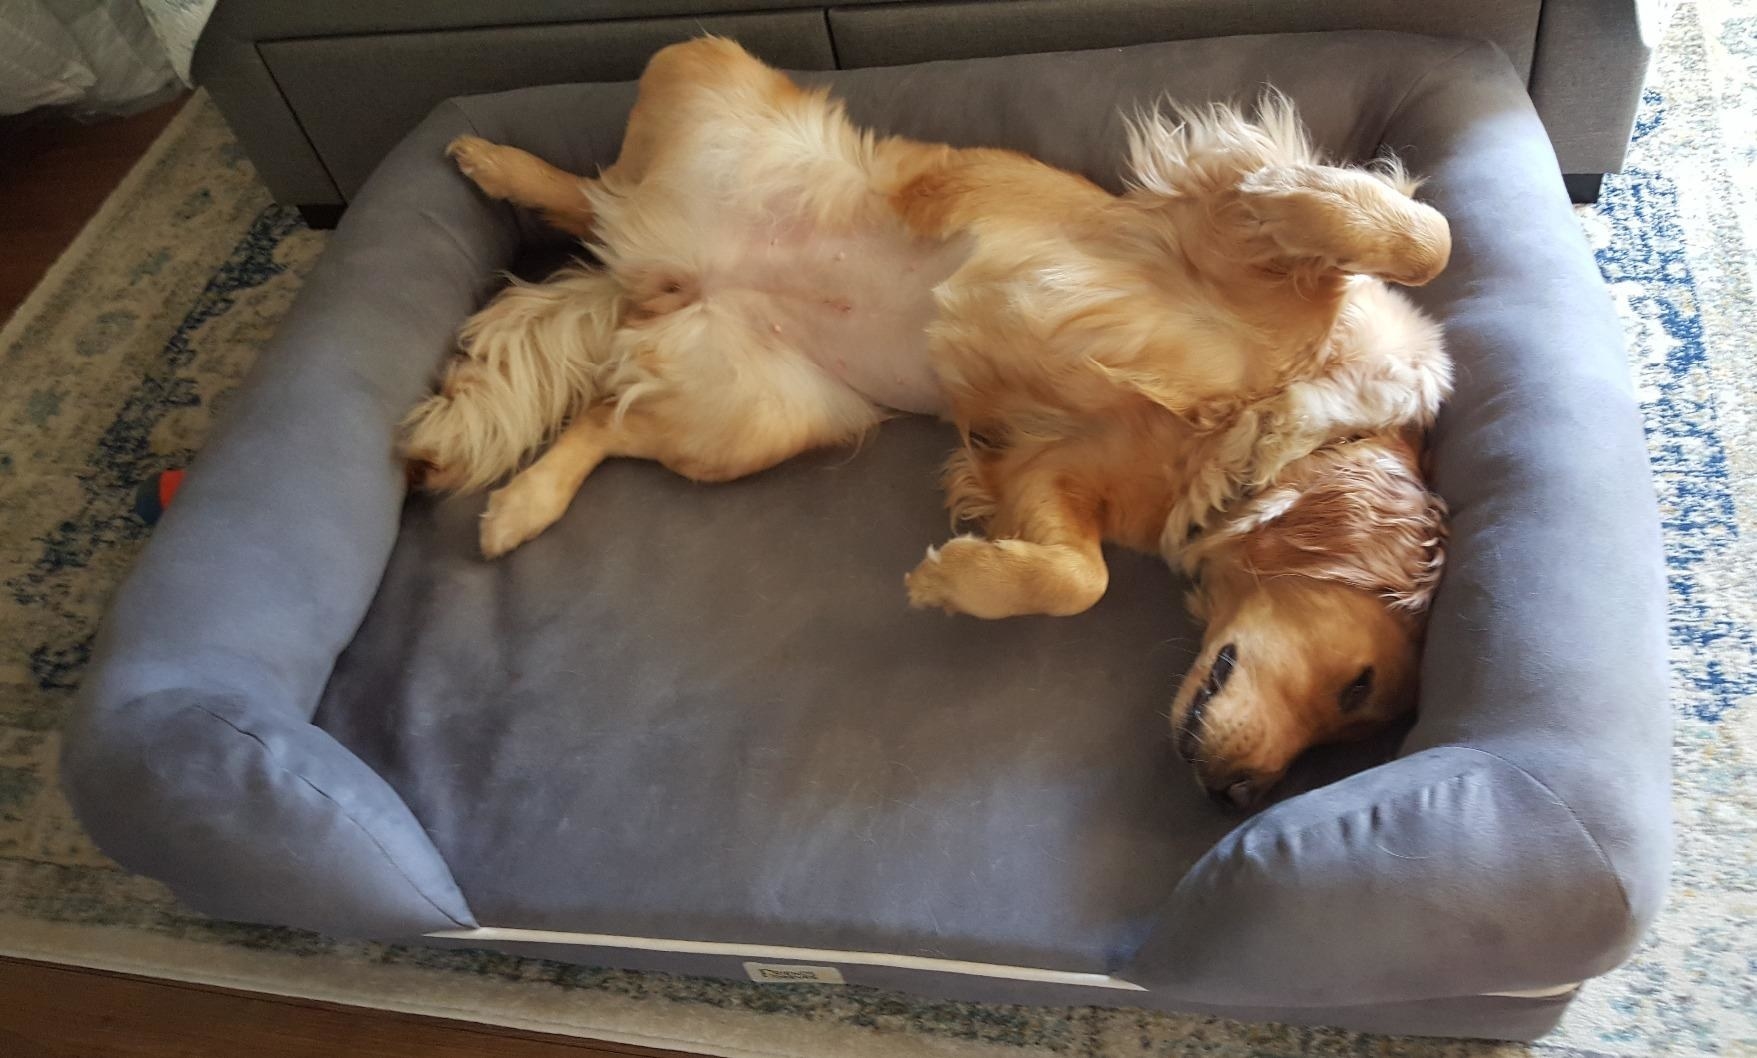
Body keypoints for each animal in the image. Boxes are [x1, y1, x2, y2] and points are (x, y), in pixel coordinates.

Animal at [402, 37, 1454, 804]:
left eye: (1354, 713)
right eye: (1357, 684)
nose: (1234, 795)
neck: (1242, 439)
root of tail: (649, 271)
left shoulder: (1041, 468)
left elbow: (1077, 579)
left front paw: (961, 578)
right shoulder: (1199, 229)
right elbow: (1416, 238)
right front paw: (1304, 193)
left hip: (742, 420)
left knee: (602, 414)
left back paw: (521, 506)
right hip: (702, 73)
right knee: (594, 188)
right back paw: (495, 161)